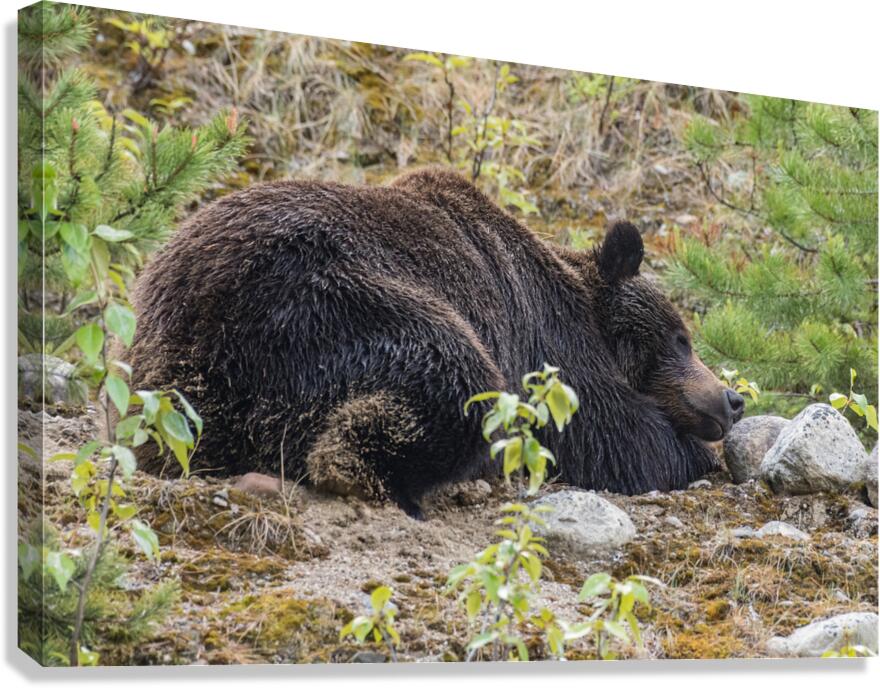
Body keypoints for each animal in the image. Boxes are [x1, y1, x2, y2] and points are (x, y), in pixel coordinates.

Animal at [127, 167, 744, 517]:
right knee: (454, 377)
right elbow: (607, 434)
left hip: (188, 378)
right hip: (324, 302)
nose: (731, 399)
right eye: (681, 338)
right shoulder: (546, 344)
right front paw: (692, 454)